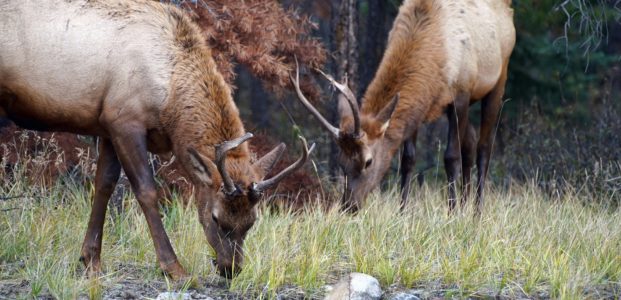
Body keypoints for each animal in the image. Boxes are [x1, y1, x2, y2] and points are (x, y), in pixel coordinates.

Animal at [0, 0, 312, 278]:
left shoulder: (109, 124)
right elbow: (147, 191)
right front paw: (174, 268)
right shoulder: (125, 121)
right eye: (216, 217)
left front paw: (91, 261)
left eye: (251, 222)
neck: (169, 97)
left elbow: (104, 185)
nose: (231, 269)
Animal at [294, 0, 516, 213]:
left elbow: (451, 157)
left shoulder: (461, 94)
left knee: (484, 147)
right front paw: (403, 212)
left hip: (498, 79)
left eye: (368, 161)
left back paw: (476, 212)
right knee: (470, 141)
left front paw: (452, 214)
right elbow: (408, 159)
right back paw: (465, 205)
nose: (349, 205)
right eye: (341, 161)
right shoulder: (419, 108)